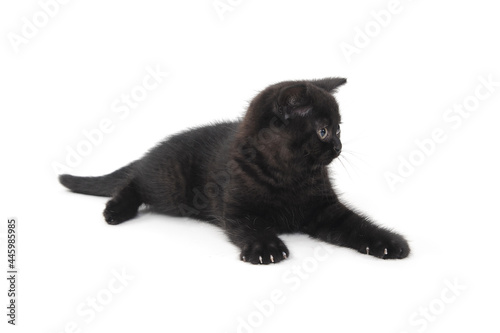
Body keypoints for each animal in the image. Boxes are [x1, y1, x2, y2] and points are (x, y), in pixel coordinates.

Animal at [59, 77, 410, 262]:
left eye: (338, 129)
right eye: (323, 131)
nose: (338, 146)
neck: (290, 176)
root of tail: (155, 150)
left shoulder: (325, 210)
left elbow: (358, 224)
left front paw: (389, 242)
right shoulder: (238, 208)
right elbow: (251, 227)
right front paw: (266, 248)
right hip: (170, 187)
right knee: (134, 181)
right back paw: (115, 210)